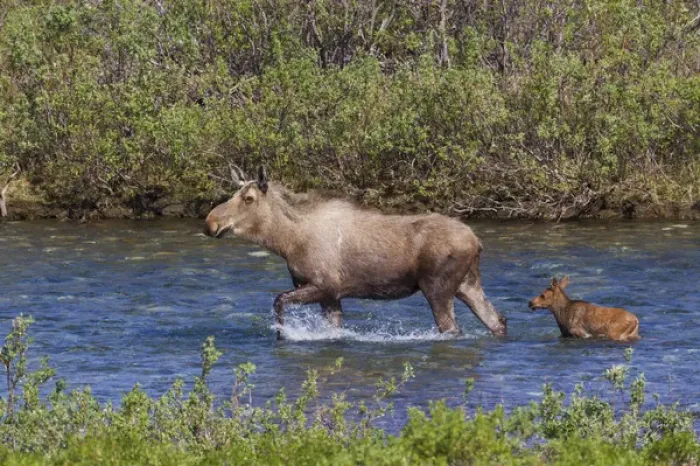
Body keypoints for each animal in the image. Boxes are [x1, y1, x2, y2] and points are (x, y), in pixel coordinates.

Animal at [204, 166, 507, 339]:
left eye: (248, 198)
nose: (210, 222)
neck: (286, 242)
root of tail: (477, 241)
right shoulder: (330, 296)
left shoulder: (324, 285)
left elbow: (278, 301)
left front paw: (283, 335)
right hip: (467, 284)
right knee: (497, 320)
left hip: (437, 288)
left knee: (453, 328)